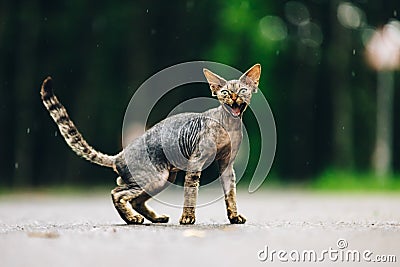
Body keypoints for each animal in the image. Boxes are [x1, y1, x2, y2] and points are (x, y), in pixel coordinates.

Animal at [39, 63, 260, 225]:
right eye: (225, 92)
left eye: (242, 90)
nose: (234, 97)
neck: (230, 126)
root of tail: (119, 156)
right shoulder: (195, 162)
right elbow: (191, 192)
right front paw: (187, 218)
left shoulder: (226, 165)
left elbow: (230, 194)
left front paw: (234, 217)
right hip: (154, 177)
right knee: (117, 193)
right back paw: (132, 219)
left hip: (163, 178)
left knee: (133, 198)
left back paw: (153, 218)